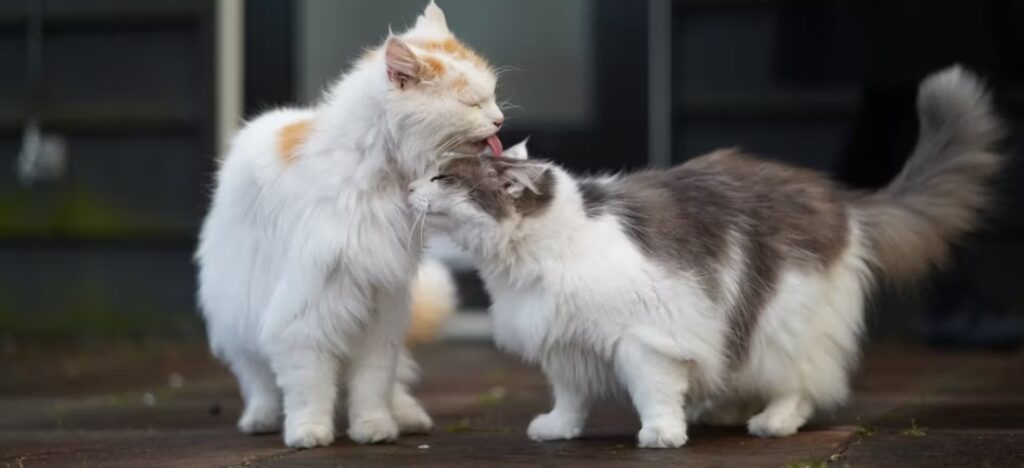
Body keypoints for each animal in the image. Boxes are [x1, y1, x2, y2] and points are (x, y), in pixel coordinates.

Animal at [193, 3, 501, 448]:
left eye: (492, 96)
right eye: (472, 104)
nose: (499, 120)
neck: (380, 177)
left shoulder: (379, 313)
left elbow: (372, 385)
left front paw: (374, 428)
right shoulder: (304, 313)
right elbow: (309, 387)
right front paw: (308, 432)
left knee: (395, 383)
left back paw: (407, 416)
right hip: (242, 311)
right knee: (259, 380)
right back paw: (261, 419)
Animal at [405, 66, 999, 448]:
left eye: (440, 178)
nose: (406, 189)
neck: (535, 256)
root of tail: (837, 197)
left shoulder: (644, 337)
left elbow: (653, 392)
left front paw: (662, 434)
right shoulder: (565, 342)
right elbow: (570, 396)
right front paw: (558, 429)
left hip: (782, 322)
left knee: (802, 385)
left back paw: (771, 422)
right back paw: (720, 411)